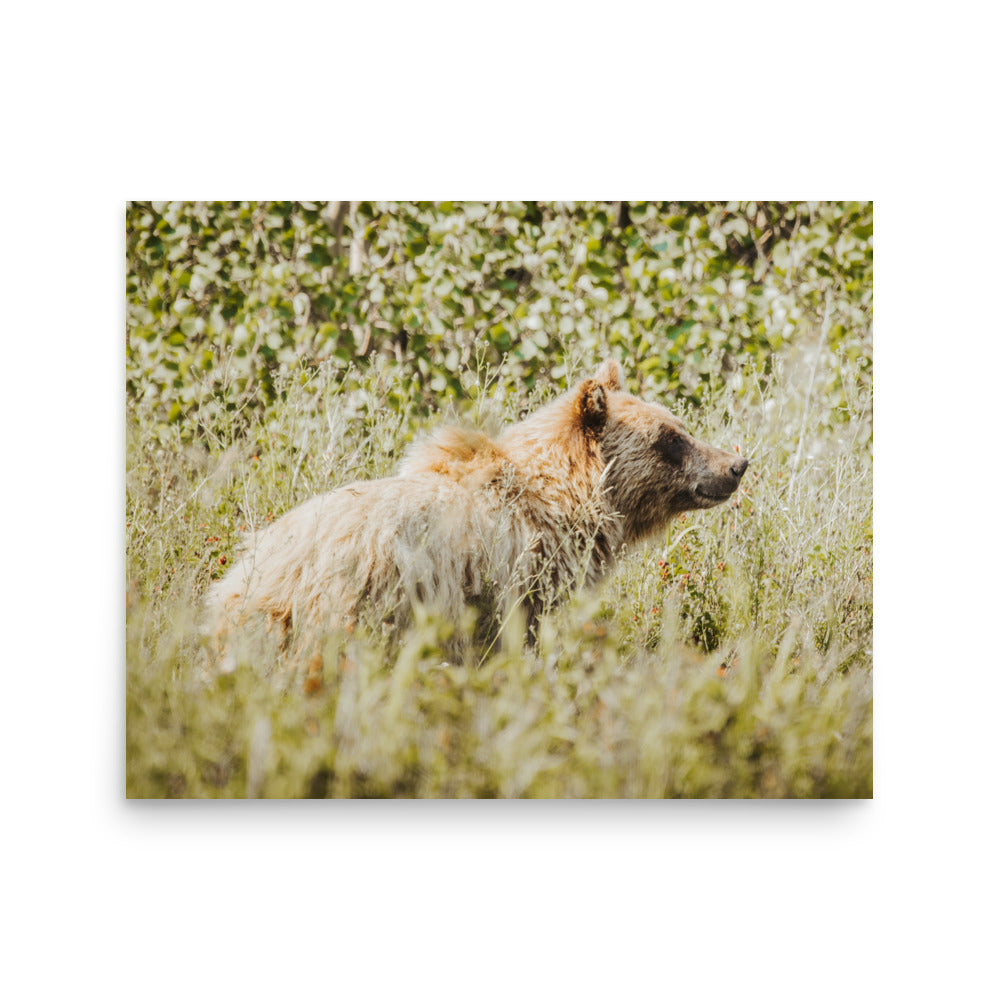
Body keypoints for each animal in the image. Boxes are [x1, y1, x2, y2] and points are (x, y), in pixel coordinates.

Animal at [204, 358, 748, 644]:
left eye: (680, 425)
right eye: (671, 438)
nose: (735, 465)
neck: (566, 503)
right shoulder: (514, 576)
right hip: (350, 603)